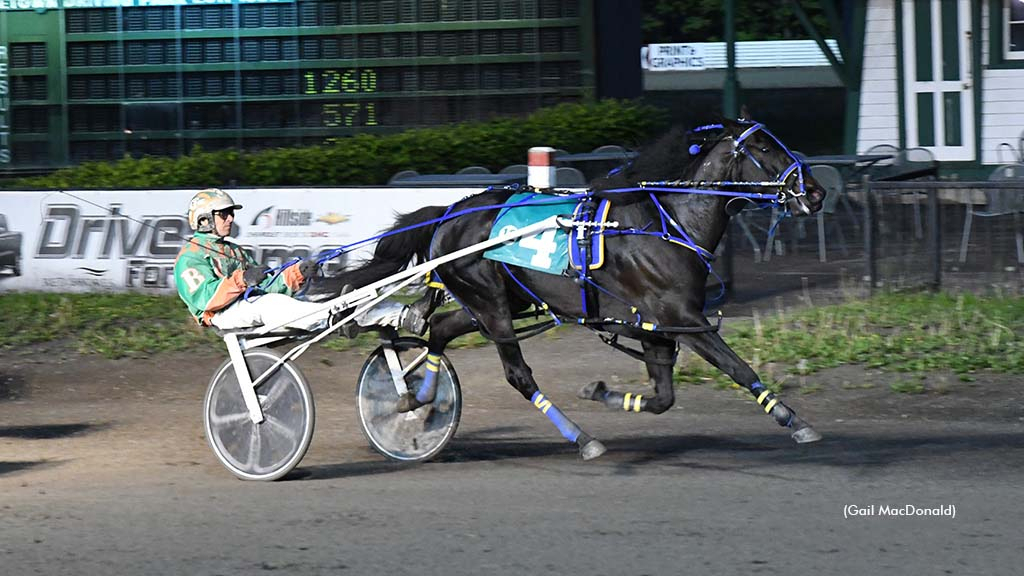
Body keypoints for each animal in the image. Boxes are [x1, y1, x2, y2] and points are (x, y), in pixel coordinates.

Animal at [315, 118, 827, 459]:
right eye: (764, 147)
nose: (817, 192)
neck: (664, 224)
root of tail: (451, 212)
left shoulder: (658, 328)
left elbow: (663, 397)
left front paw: (601, 392)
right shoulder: (683, 318)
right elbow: (738, 368)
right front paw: (794, 421)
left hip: (496, 300)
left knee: (438, 330)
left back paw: (416, 399)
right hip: (492, 305)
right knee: (518, 375)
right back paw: (583, 439)